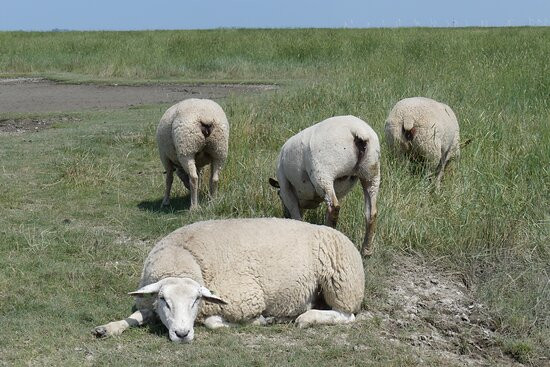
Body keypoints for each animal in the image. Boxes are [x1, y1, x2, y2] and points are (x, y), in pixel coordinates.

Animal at [92, 217, 364, 344]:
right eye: (163, 300)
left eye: (196, 300)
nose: (182, 334)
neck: (184, 256)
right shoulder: (149, 304)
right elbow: (135, 317)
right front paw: (108, 328)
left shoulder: (246, 298)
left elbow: (213, 322)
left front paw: (260, 321)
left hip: (341, 284)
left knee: (346, 316)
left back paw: (306, 319)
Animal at [270, 116, 382, 258]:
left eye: (279, 196)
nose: (285, 215)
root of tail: (358, 131)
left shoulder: (285, 187)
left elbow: (297, 214)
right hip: (371, 173)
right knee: (371, 212)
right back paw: (366, 251)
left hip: (323, 173)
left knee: (334, 207)